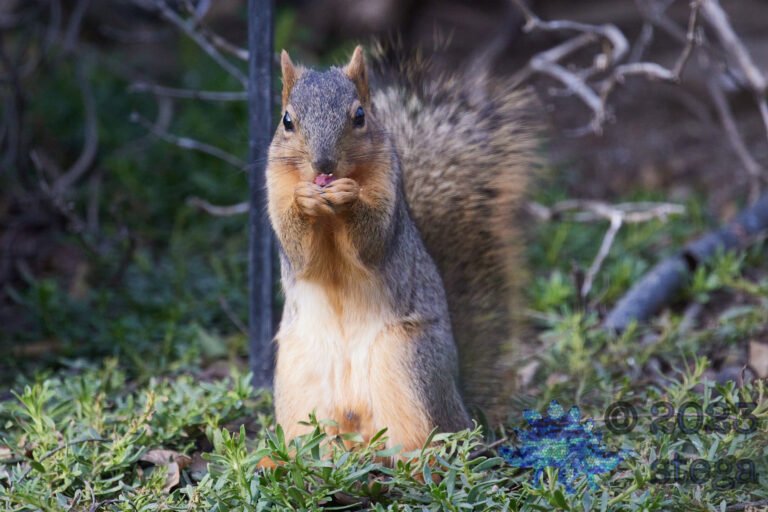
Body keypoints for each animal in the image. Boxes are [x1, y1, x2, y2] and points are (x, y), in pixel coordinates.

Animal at [266, 44, 537, 453]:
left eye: (360, 116)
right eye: (287, 121)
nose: (323, 164)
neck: (329, 217)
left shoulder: (387, 191)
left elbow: (373, 241)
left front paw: (349, 196)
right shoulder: (275, 189)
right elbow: (299, 252)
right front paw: (305, 200)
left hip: (408, 368)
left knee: (429, 437)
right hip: (298, 384)